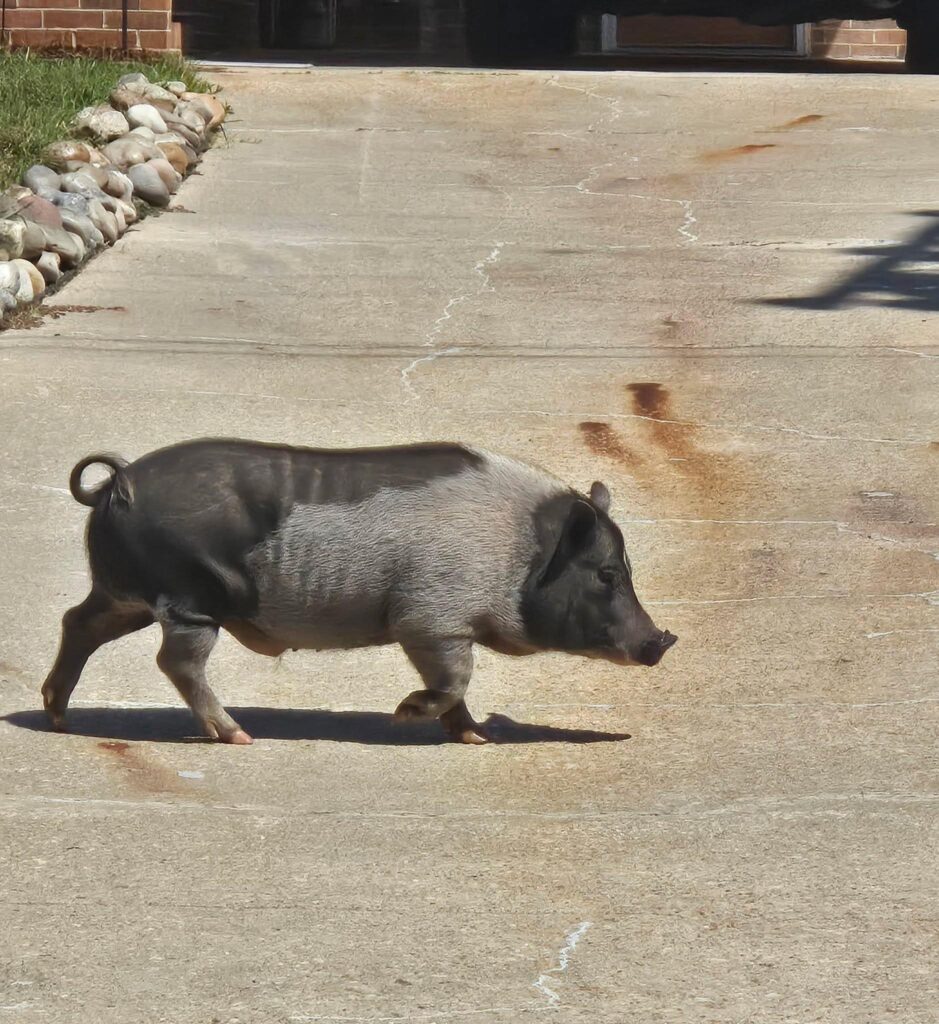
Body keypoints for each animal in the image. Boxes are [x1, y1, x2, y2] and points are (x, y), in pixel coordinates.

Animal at [42, 439, 677, 745]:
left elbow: (457, 688)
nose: (662, 641)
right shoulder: (430, 617)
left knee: (77, 622)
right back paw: (240, 737)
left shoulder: (442, 625)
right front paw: (403, 717)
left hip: (126, 594)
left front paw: (478, 738)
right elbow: (453, 679)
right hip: (189, 599)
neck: (519, 550)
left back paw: (59, 718)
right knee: (176, 661)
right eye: (607, 574)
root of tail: (118, 481)